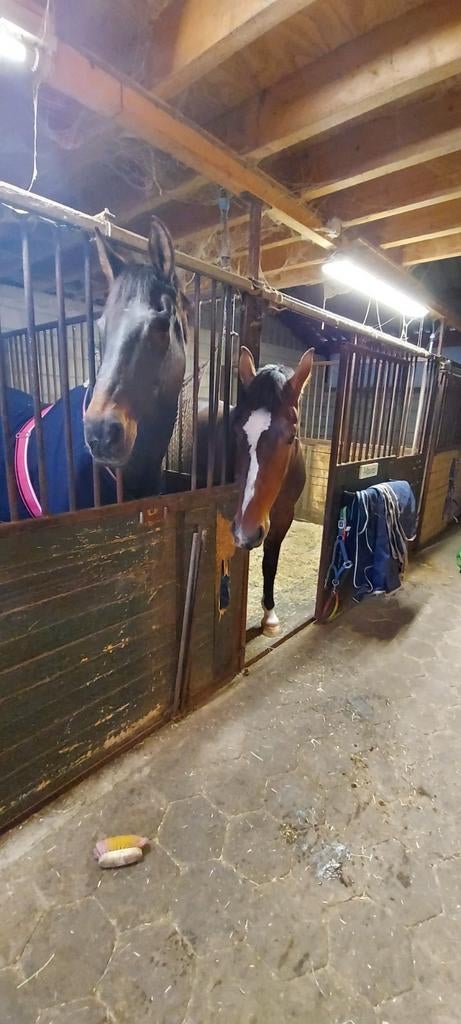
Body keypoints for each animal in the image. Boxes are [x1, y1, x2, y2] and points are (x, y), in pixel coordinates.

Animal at [197, 345, 314, 636]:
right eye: (238, 431)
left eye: (291, 435)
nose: (245, 532)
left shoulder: (284, 516)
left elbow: (269, 562)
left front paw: (269, 615)